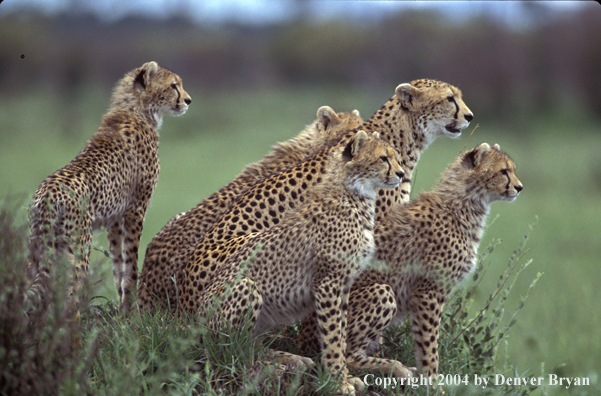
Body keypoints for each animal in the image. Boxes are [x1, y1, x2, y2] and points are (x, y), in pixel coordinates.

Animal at [27, 61, 191, 312]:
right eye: (174, 86)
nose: (188, 100)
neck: (137, 111)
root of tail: (47, 194)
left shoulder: (114, 219)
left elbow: (118, 265)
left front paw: (123, 308)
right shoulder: (136, 209)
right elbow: (131, 262)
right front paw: (131, 310)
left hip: (37, 249)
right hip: (77, 248)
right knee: (71, 294)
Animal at [184, 131, 404, 394]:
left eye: (395, 156)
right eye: (383, 158)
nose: (401, 173)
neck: (354, 194)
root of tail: (194, 320)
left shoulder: (343, 286)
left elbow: (340, 335)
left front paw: (344, 376)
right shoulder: (328, 283)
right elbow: (332, 337)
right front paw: (338, 381)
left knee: (251, 343)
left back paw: (292, 359)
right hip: (245, 288)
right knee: (233, 349)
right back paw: (275, 365)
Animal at [298, 142, 524, 380]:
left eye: (511, 170)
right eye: (503, 171)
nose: (519, 187)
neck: (464, 204)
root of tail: (300, 337)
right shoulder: (428, 292)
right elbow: (429, 345)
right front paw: (432, 381)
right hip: (380, 292)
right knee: (346, 354)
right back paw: (396, 367)